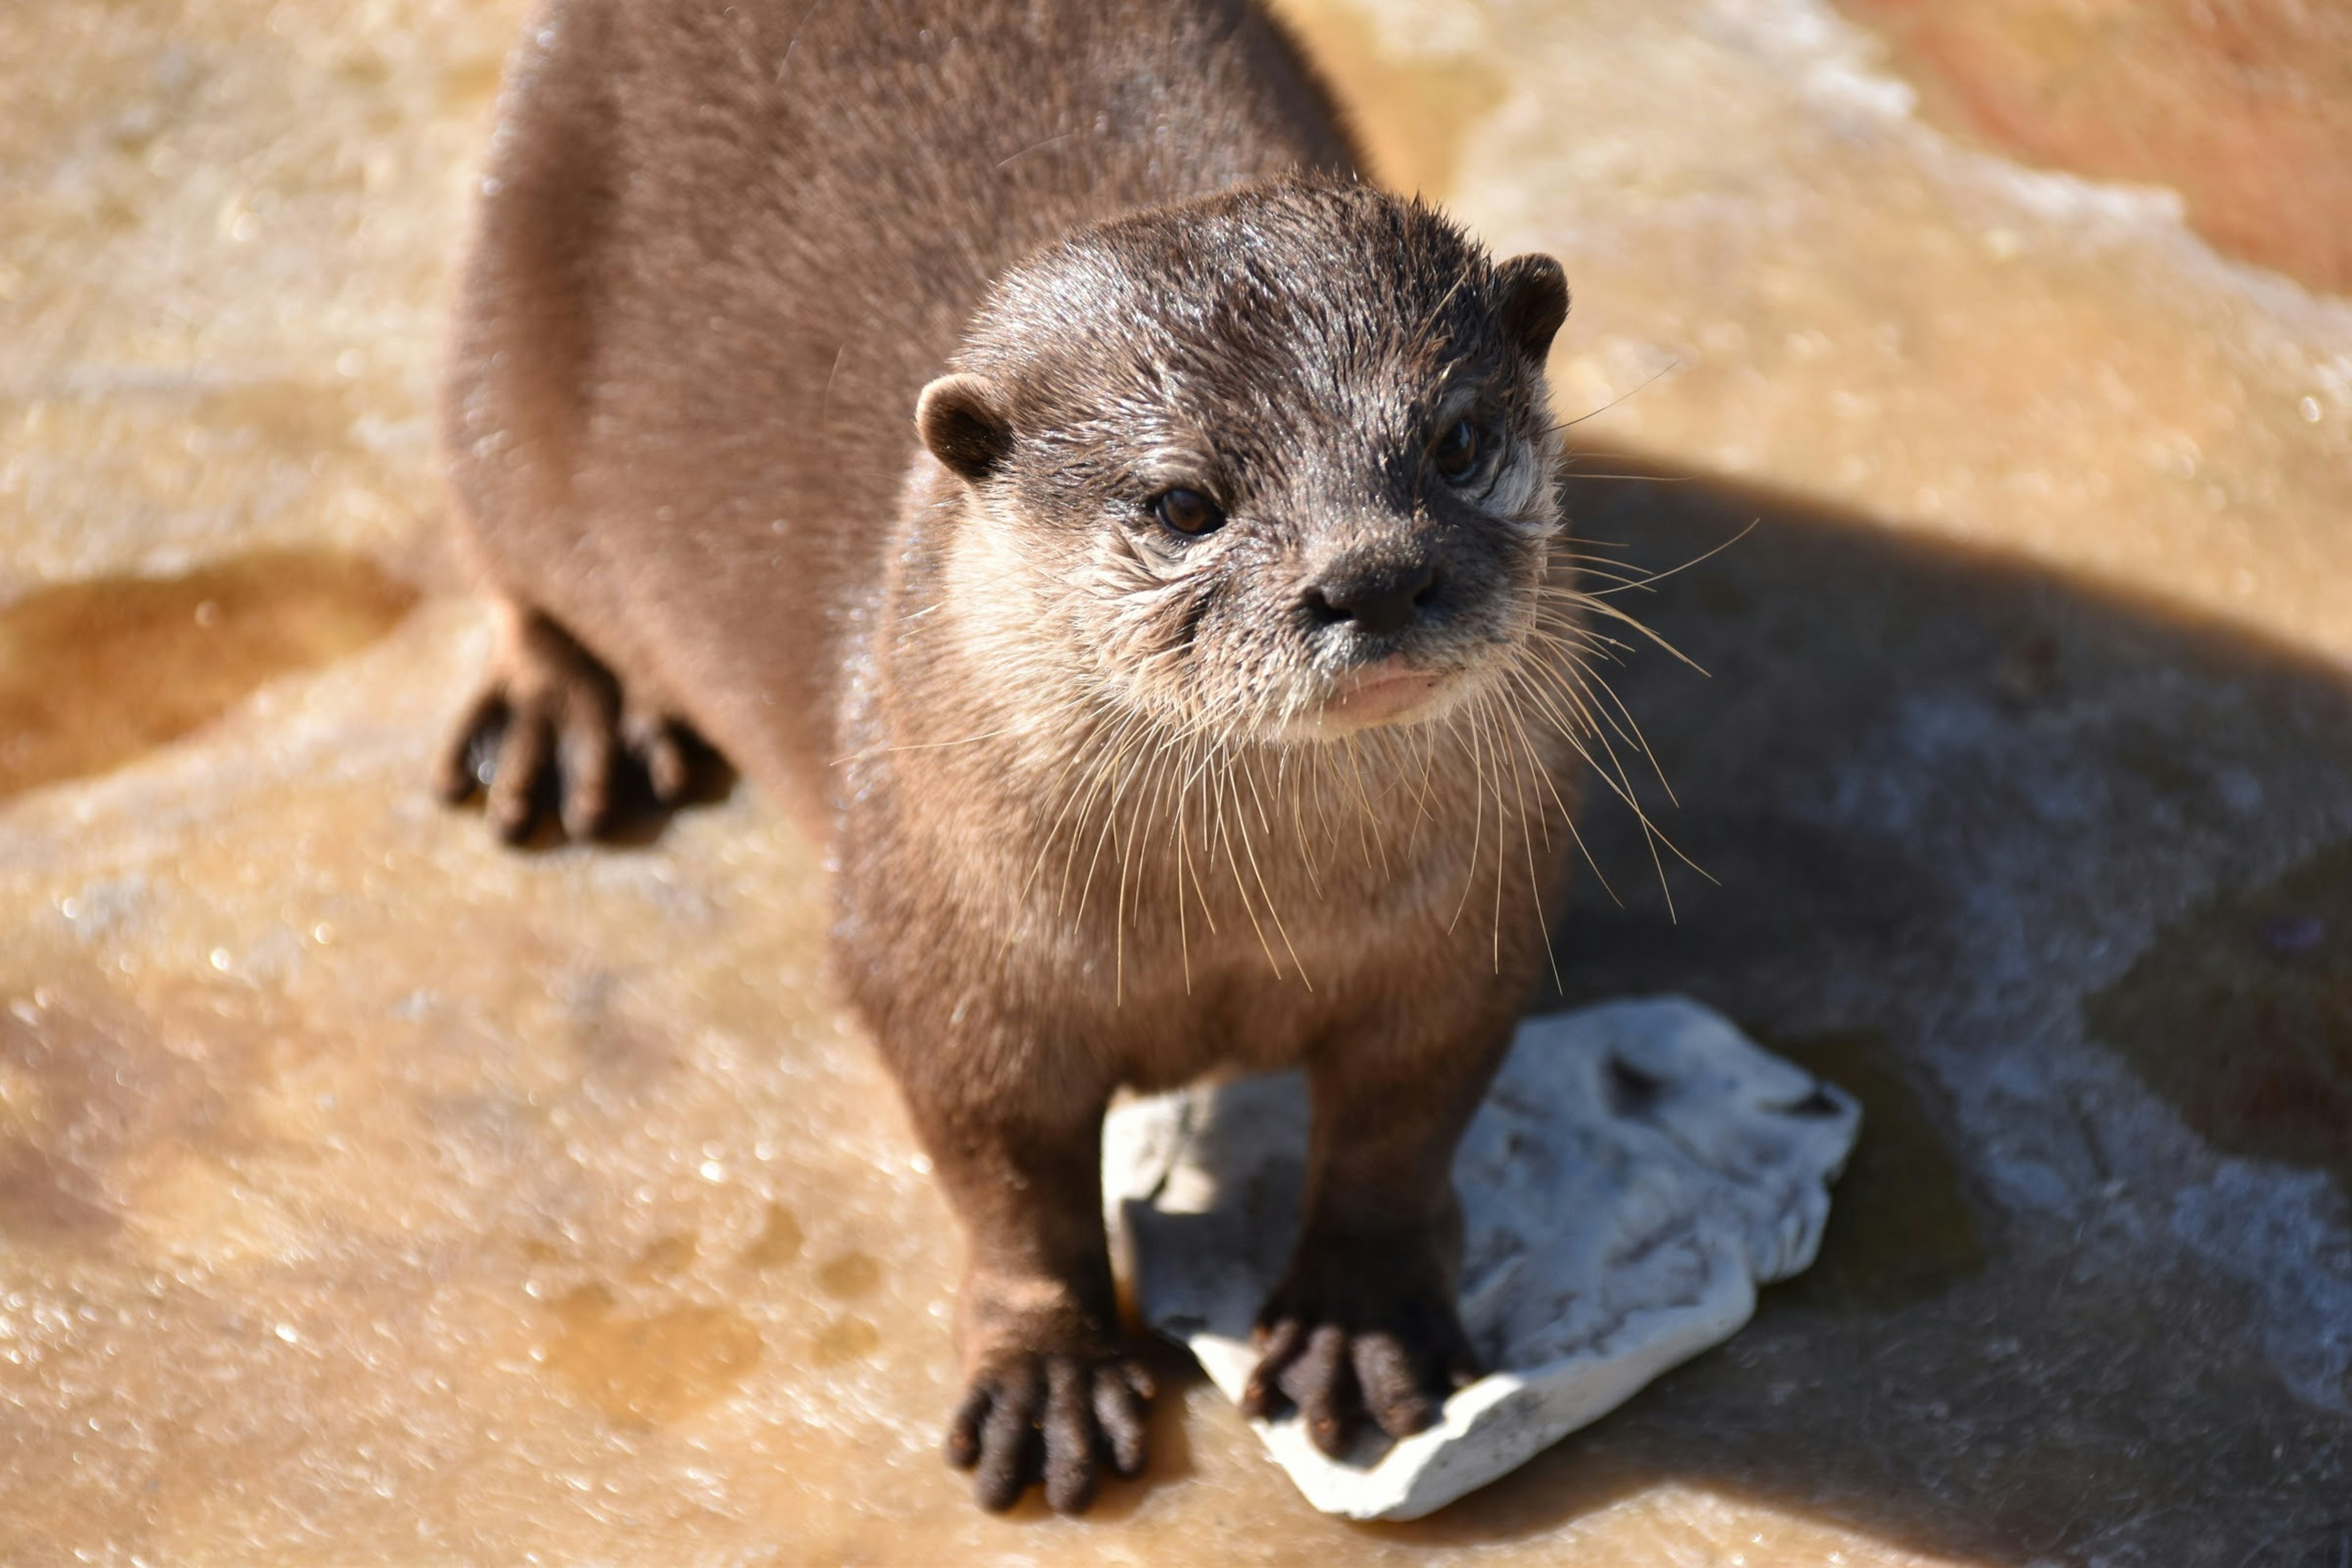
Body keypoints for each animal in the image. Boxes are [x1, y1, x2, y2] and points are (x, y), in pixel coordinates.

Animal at [435, 0, 1589, 1523]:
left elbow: (1400, 1132)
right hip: (508, 290)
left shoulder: (1468, 929)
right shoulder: (940, 943)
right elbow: (1004, 1172)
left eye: (1457, 441)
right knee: (500, 532)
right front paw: (1046, 1370)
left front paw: (1354, 1318)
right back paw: (560, 710)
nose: (1374, 576)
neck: (1233, 931)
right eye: (1185, 502)